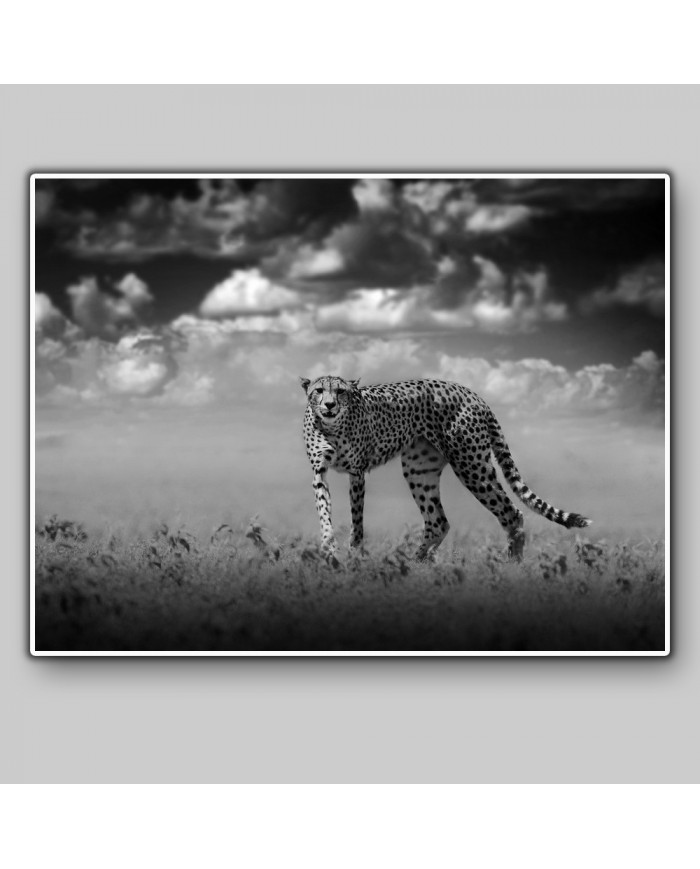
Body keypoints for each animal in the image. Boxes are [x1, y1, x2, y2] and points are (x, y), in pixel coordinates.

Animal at [300, 375, 591, 563]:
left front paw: (354, 554)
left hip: (470, 464)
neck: (331, 426)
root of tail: (470, 392)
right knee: (438, 522)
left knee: (512, 514)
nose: (329, 405)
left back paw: (513, 565)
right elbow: (324, 511)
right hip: (419, 469)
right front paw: (328, 549)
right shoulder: (319, 473)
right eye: (319, 390)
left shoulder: (358, 472)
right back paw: (414, 563)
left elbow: (357, 519)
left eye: (340, 391)